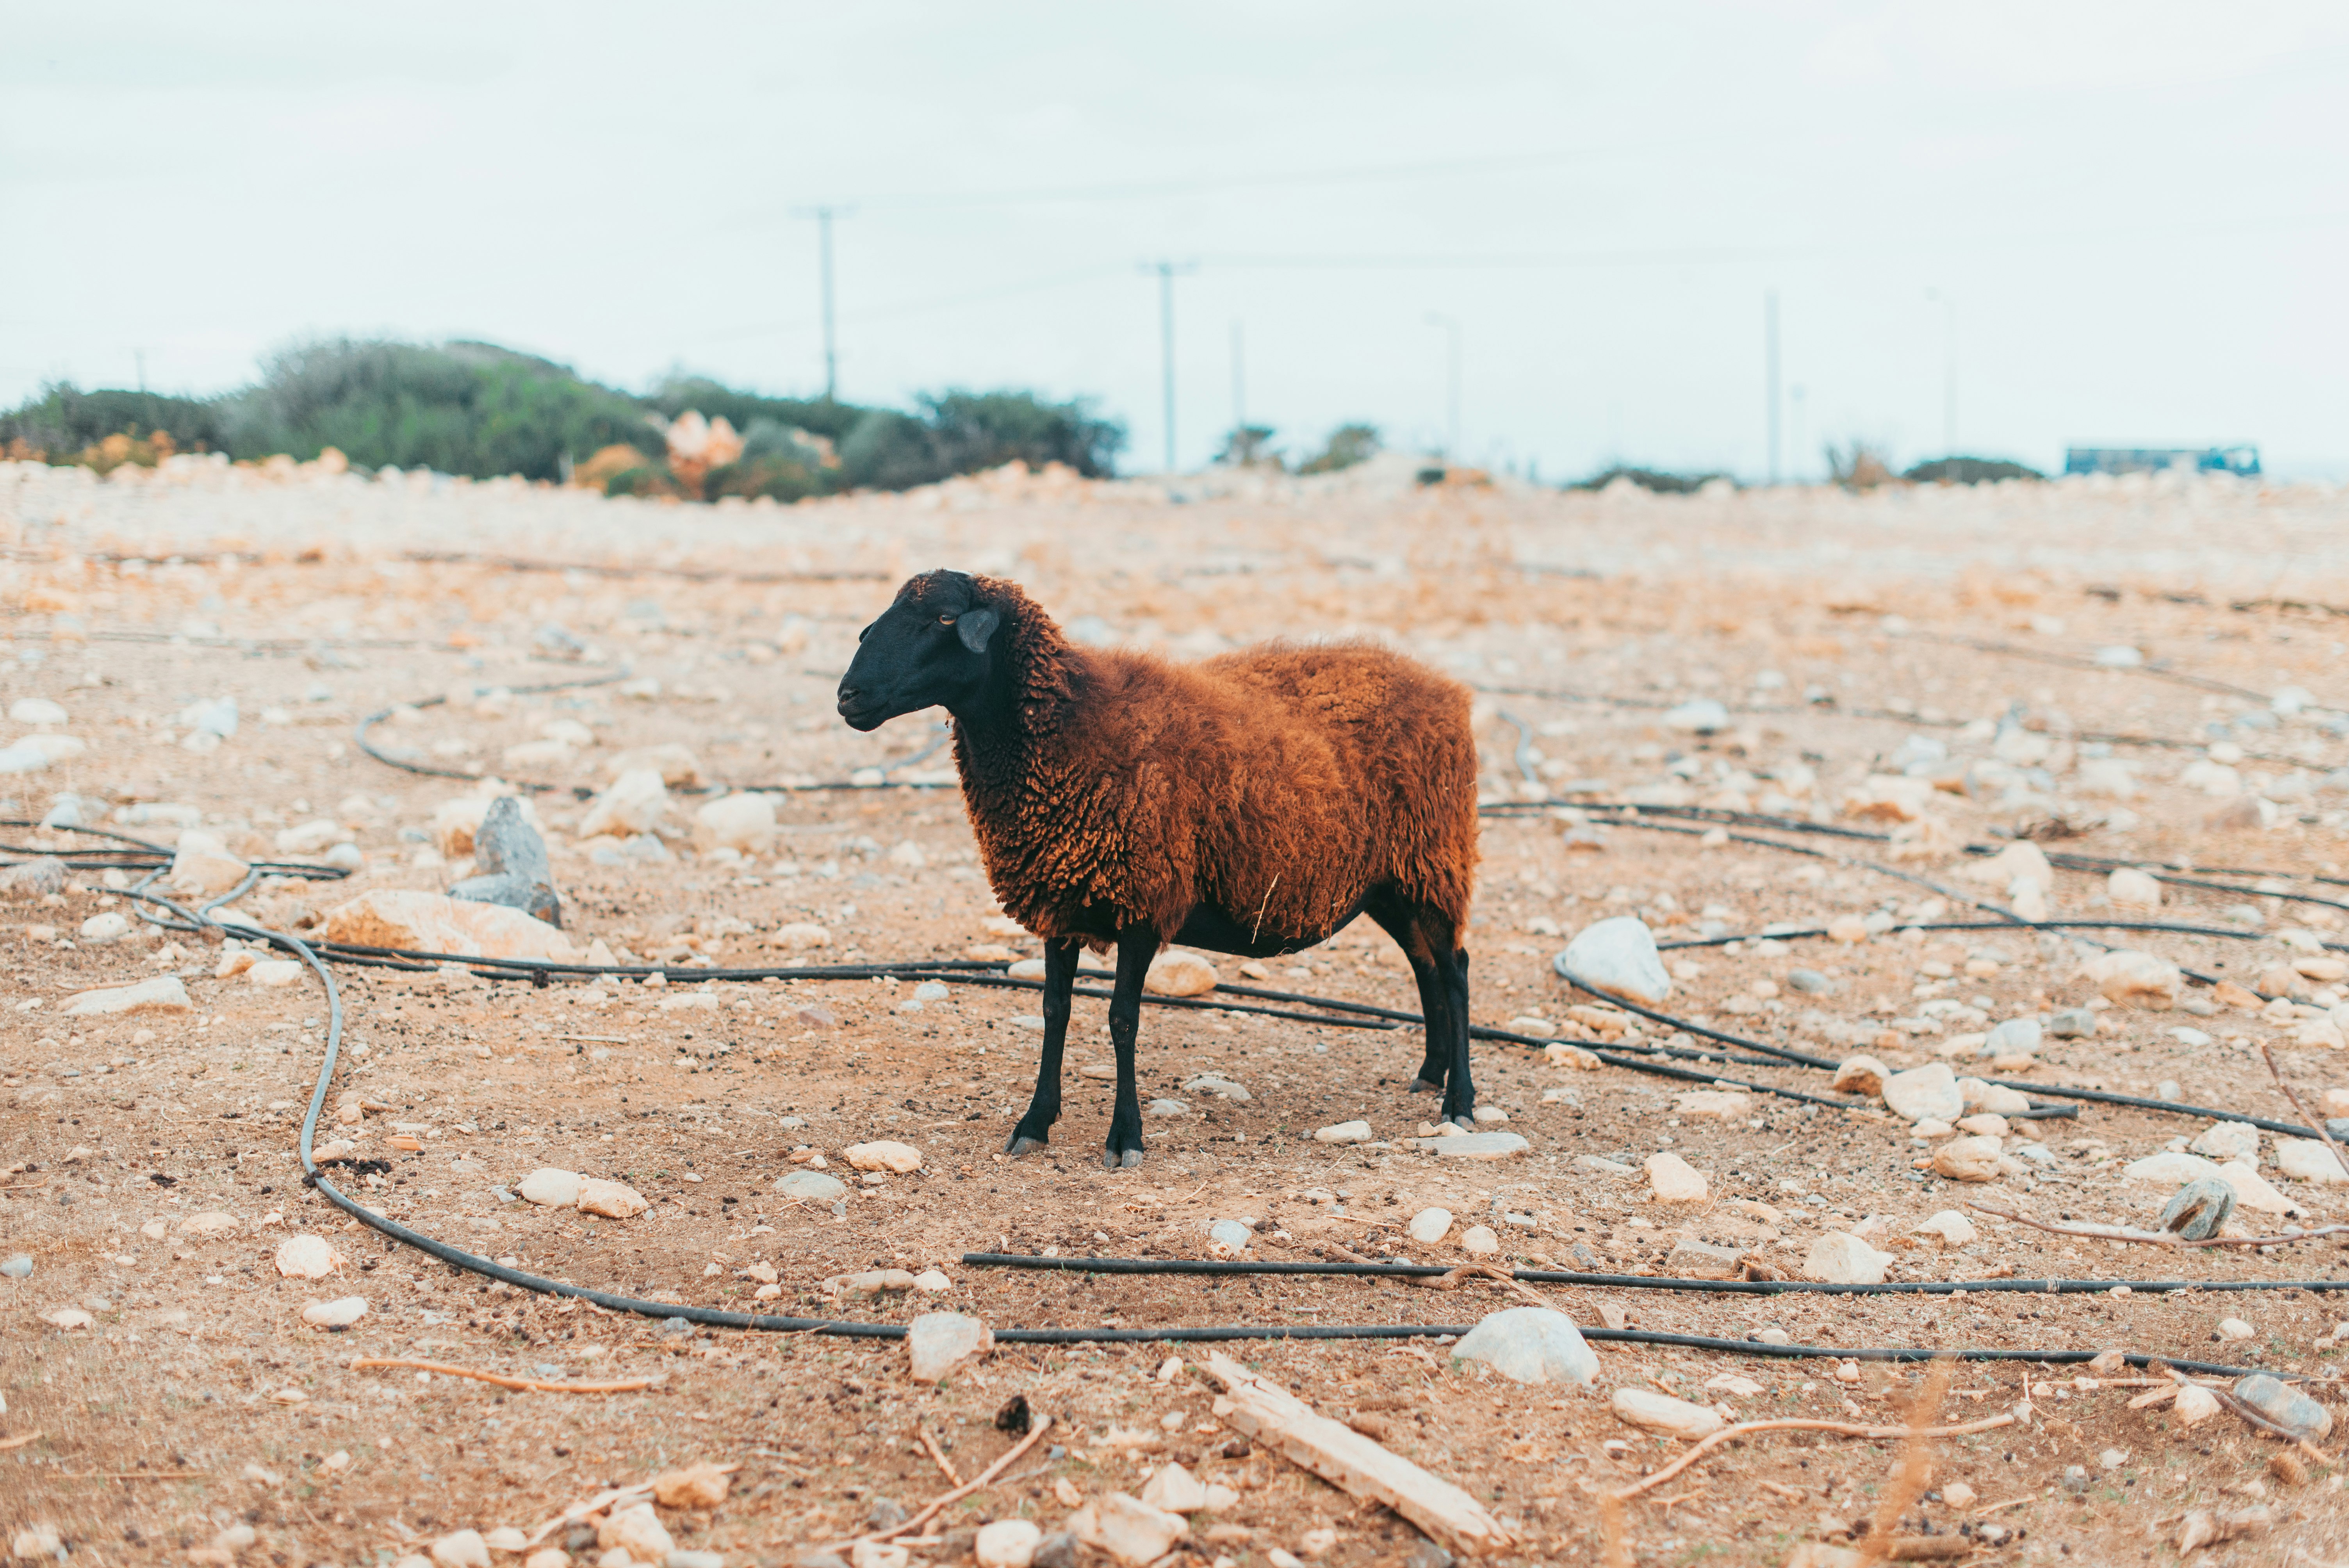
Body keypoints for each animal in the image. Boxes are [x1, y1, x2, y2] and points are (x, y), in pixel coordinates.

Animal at [836, 570, 1475, 1169]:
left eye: (945, 618)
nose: (847, 696)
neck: (1075, 725)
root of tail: (1445, 689)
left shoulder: (1143, 900)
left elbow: (1122, 1020)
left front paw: (1125, 1138)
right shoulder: (1060, 901)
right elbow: (1054, 1012)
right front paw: (1035, 1124)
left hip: (1435, 860)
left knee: (1454, 970)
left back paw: (1460, 1102)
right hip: (1391, 881)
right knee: (1423, 964)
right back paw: (1430, 1072)